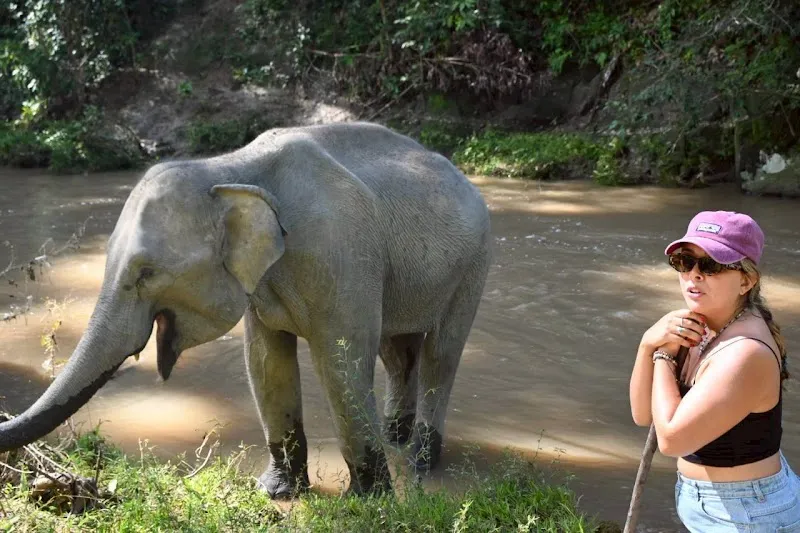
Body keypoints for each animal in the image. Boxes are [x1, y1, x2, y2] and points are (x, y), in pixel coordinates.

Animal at [0, 121, 492, 497]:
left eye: (145, 273)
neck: (228, 169)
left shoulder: (342, 257)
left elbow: (341, 364)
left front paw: (370, 500)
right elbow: (267, 361)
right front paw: (276, 492)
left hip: (475, 262)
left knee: (441, 353)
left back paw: (421, 461)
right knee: (398, 352)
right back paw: (394, 437)